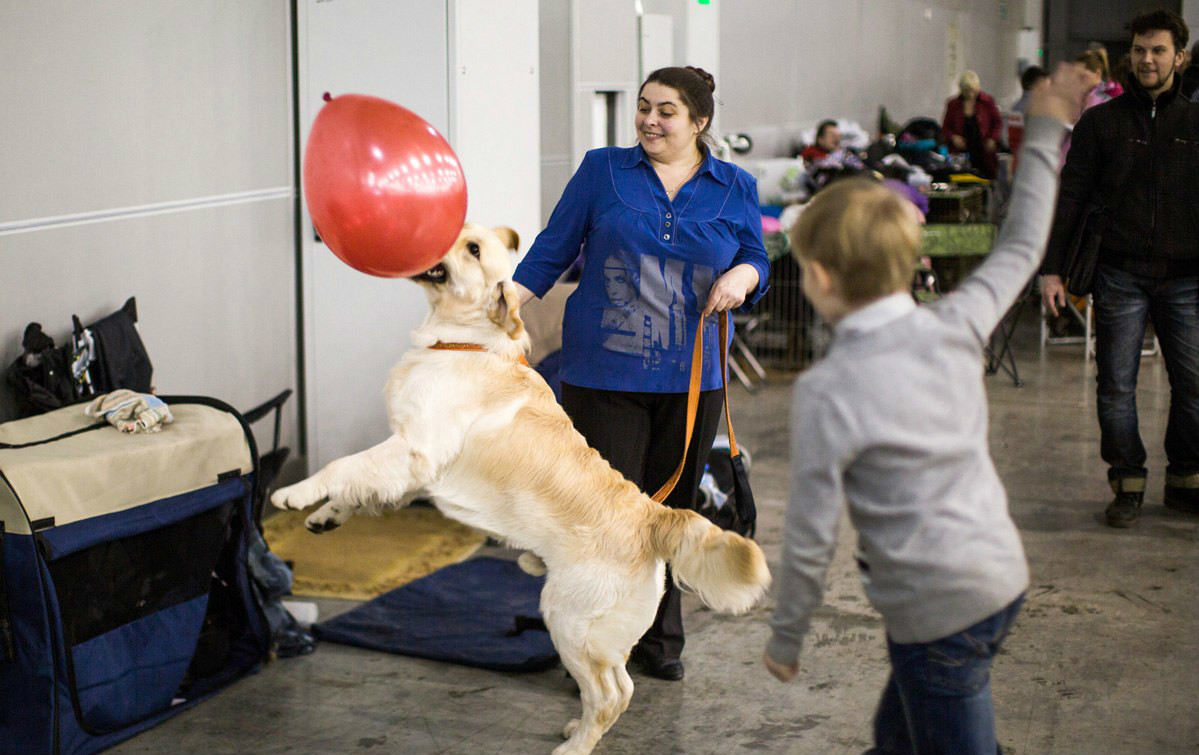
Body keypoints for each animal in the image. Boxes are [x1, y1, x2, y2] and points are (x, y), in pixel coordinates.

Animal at [274, 221, 767, 752]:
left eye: (472, 248)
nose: (435, 231)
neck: (464, 342)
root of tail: (654, 515)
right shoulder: (413, 468)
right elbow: (358, 483)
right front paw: (326, 515)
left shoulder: (415, 448)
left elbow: (341, 466)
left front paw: (295, 493)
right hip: (601, 630)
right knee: (621, 686)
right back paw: (577, 727)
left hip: (568, 618)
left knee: (611, 693)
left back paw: (574, 746)